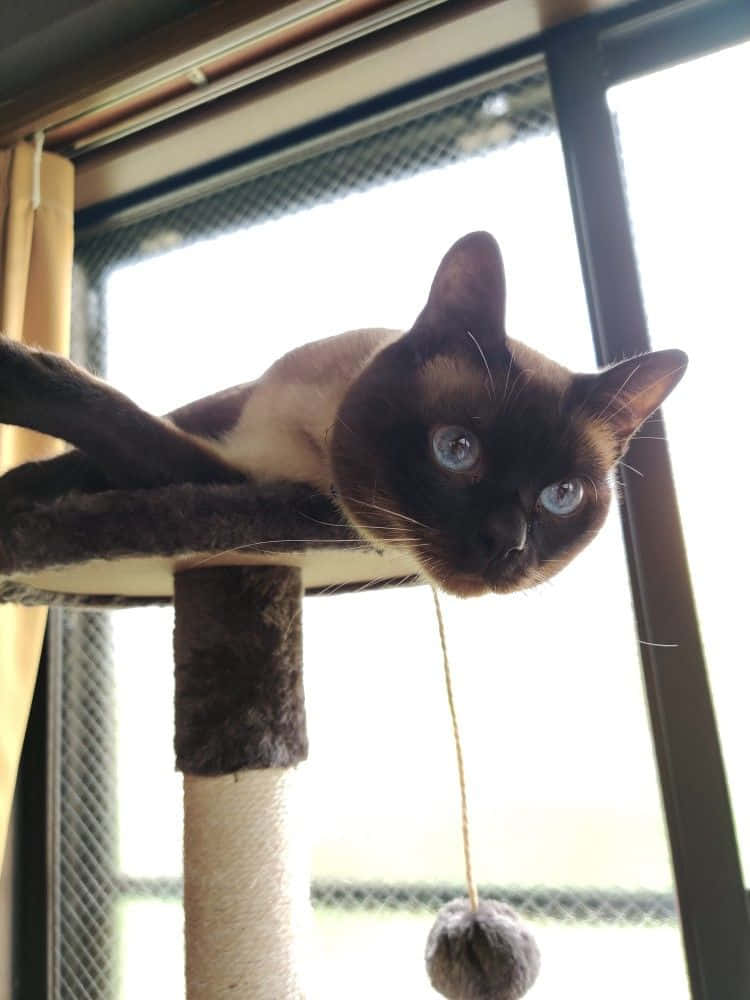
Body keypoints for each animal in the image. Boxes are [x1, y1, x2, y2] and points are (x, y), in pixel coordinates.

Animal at [0, 233, 688, 592]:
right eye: (457, 450)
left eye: (561, 496)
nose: (507, 544)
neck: (317, 412)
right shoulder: (221, 415)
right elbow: (100, 429)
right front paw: (21, 483)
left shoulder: (233, 476)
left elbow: (113, 425)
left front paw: (18, 488)